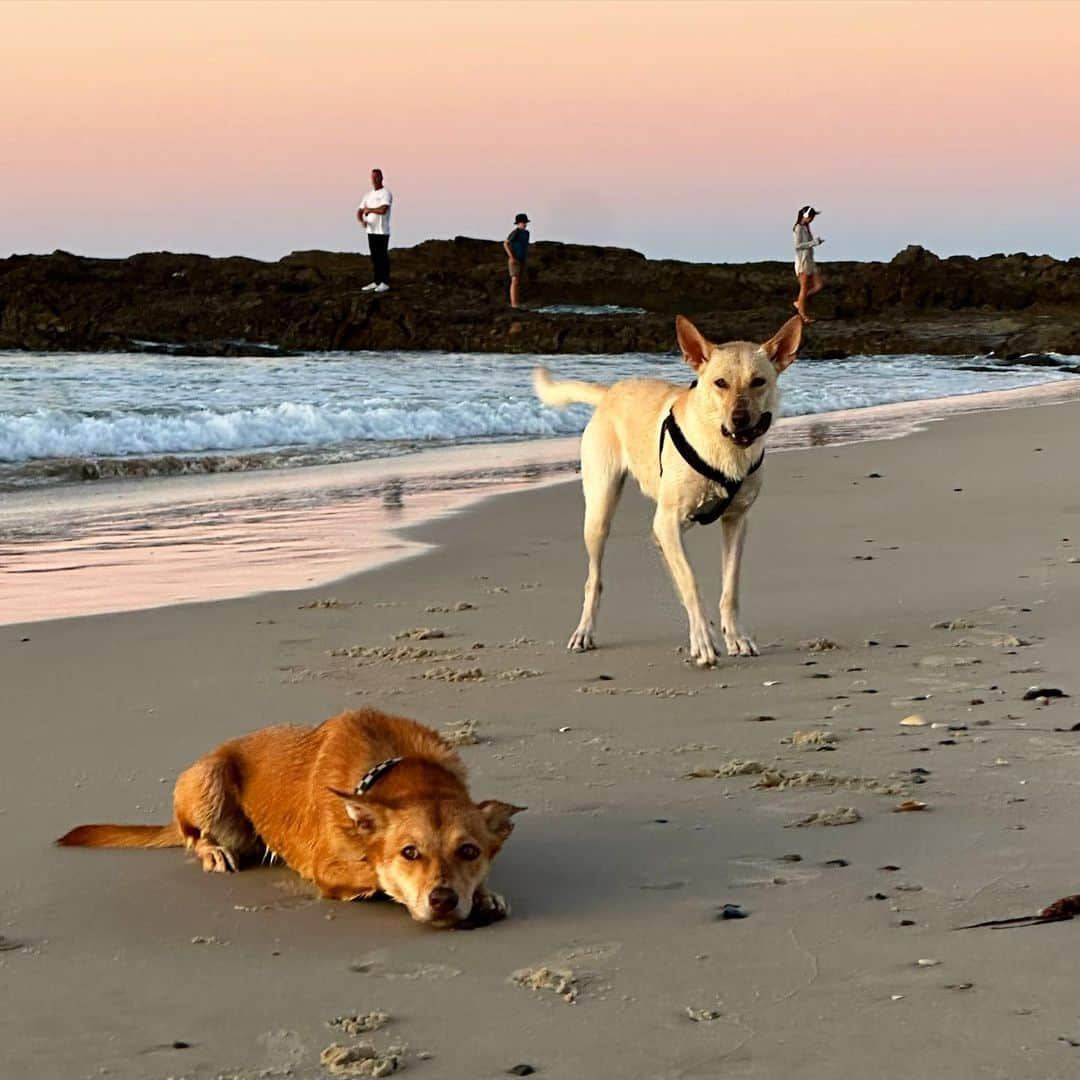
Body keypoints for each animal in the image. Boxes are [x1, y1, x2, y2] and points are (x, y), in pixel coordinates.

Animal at [58, 708, 522, 928]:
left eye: (469, 851)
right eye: (409, 852)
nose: (444, 900)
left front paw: (485, 894)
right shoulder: (329, 865)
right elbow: (372, 873)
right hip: (208, 779)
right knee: (195, 836)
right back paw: (215, 851)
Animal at [531, 315, 803, 665]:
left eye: (758, 381)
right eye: (720, 383)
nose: (740, 419)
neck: (723, 448)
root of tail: (611, 392)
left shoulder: (736, 521)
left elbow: (729, 587)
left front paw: (736, 637)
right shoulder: (670, 519)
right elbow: (691, 582)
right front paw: (703, 641)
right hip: (601, 512)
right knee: (595, 579)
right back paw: (585, 632)